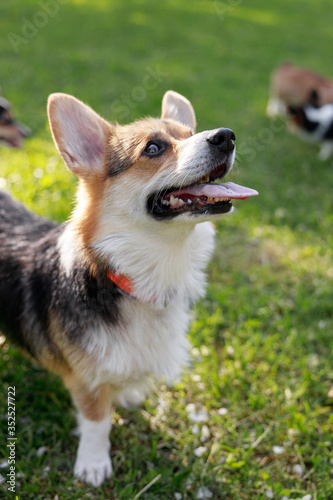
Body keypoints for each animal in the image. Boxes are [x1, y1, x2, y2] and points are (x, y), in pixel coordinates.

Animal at [0, 90, 258, 484]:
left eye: (189, 133)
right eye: (153, 148)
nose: (225, 136)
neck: (129, 276)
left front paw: (126, 395)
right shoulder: (86, 380)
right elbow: (97, 421)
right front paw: (93, 464)